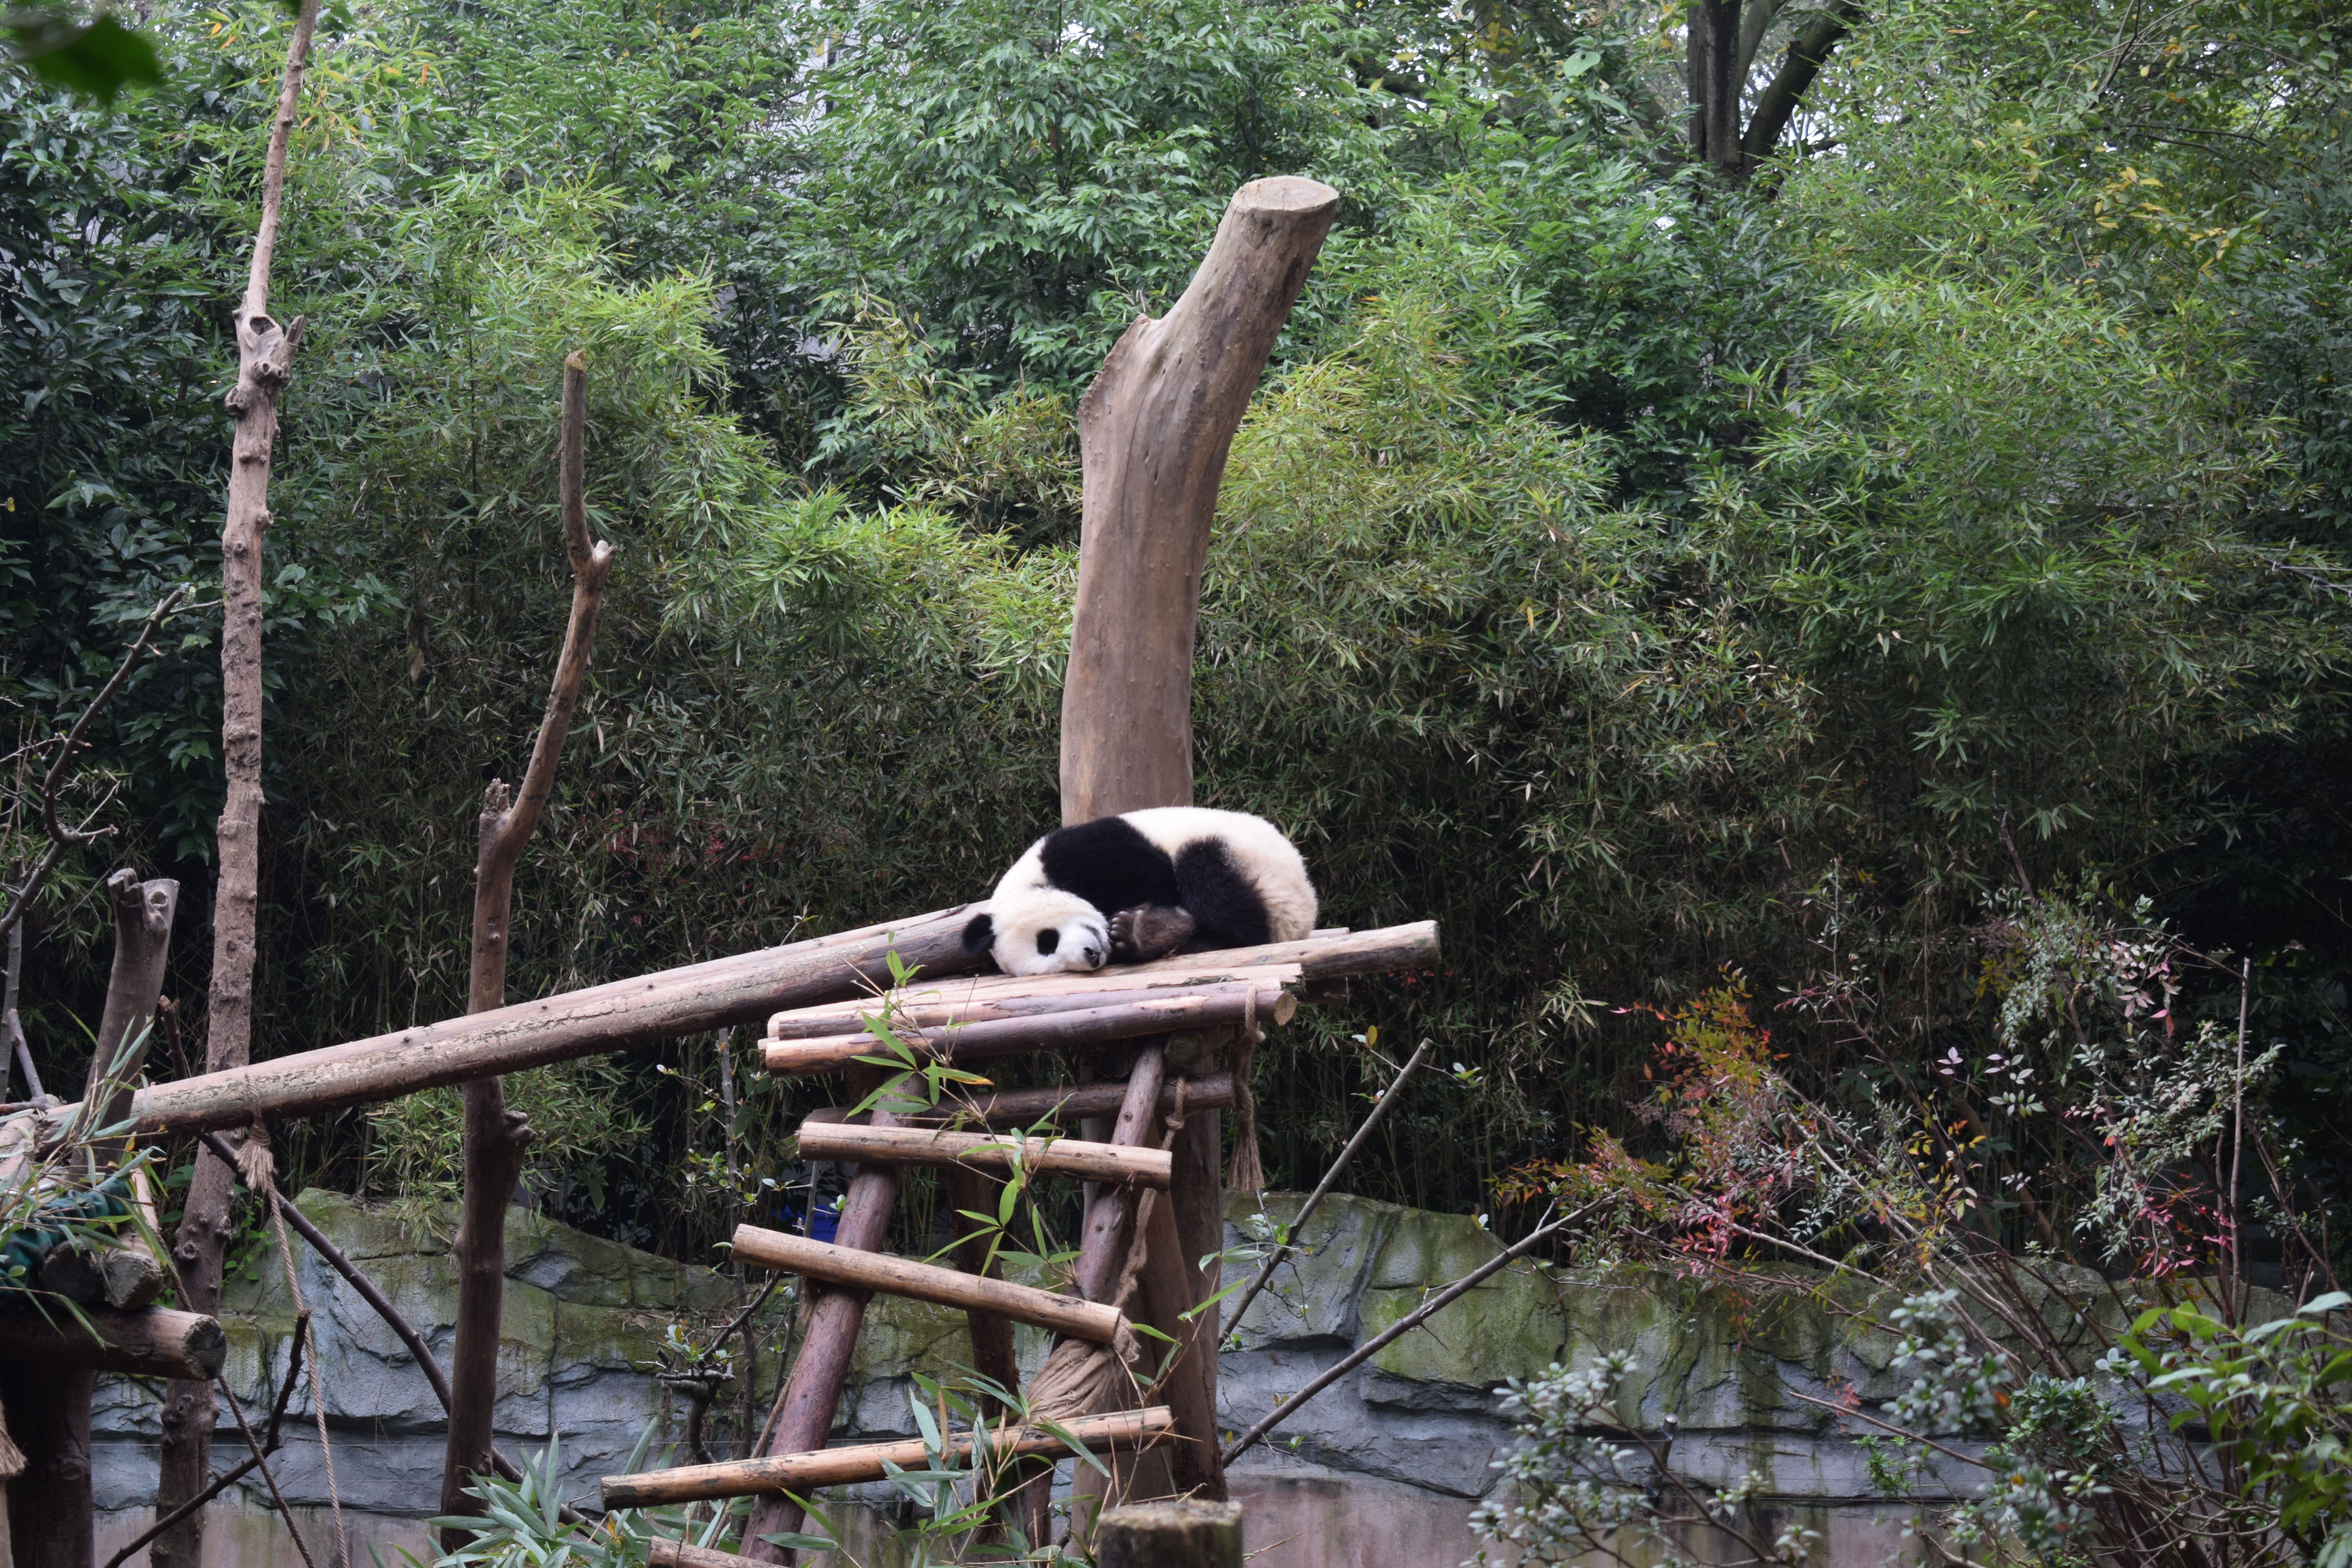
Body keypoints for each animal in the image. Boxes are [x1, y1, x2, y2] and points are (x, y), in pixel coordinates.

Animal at [962, 807, 1318, 977]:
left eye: (1046, 941)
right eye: (1055, 964)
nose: (1091, 956)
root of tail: (1304, 921)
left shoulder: (1085, 851)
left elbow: (1154, 877)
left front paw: (1150, 928)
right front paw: (1133, 936)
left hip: (1260, 870)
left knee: (1217, 888)